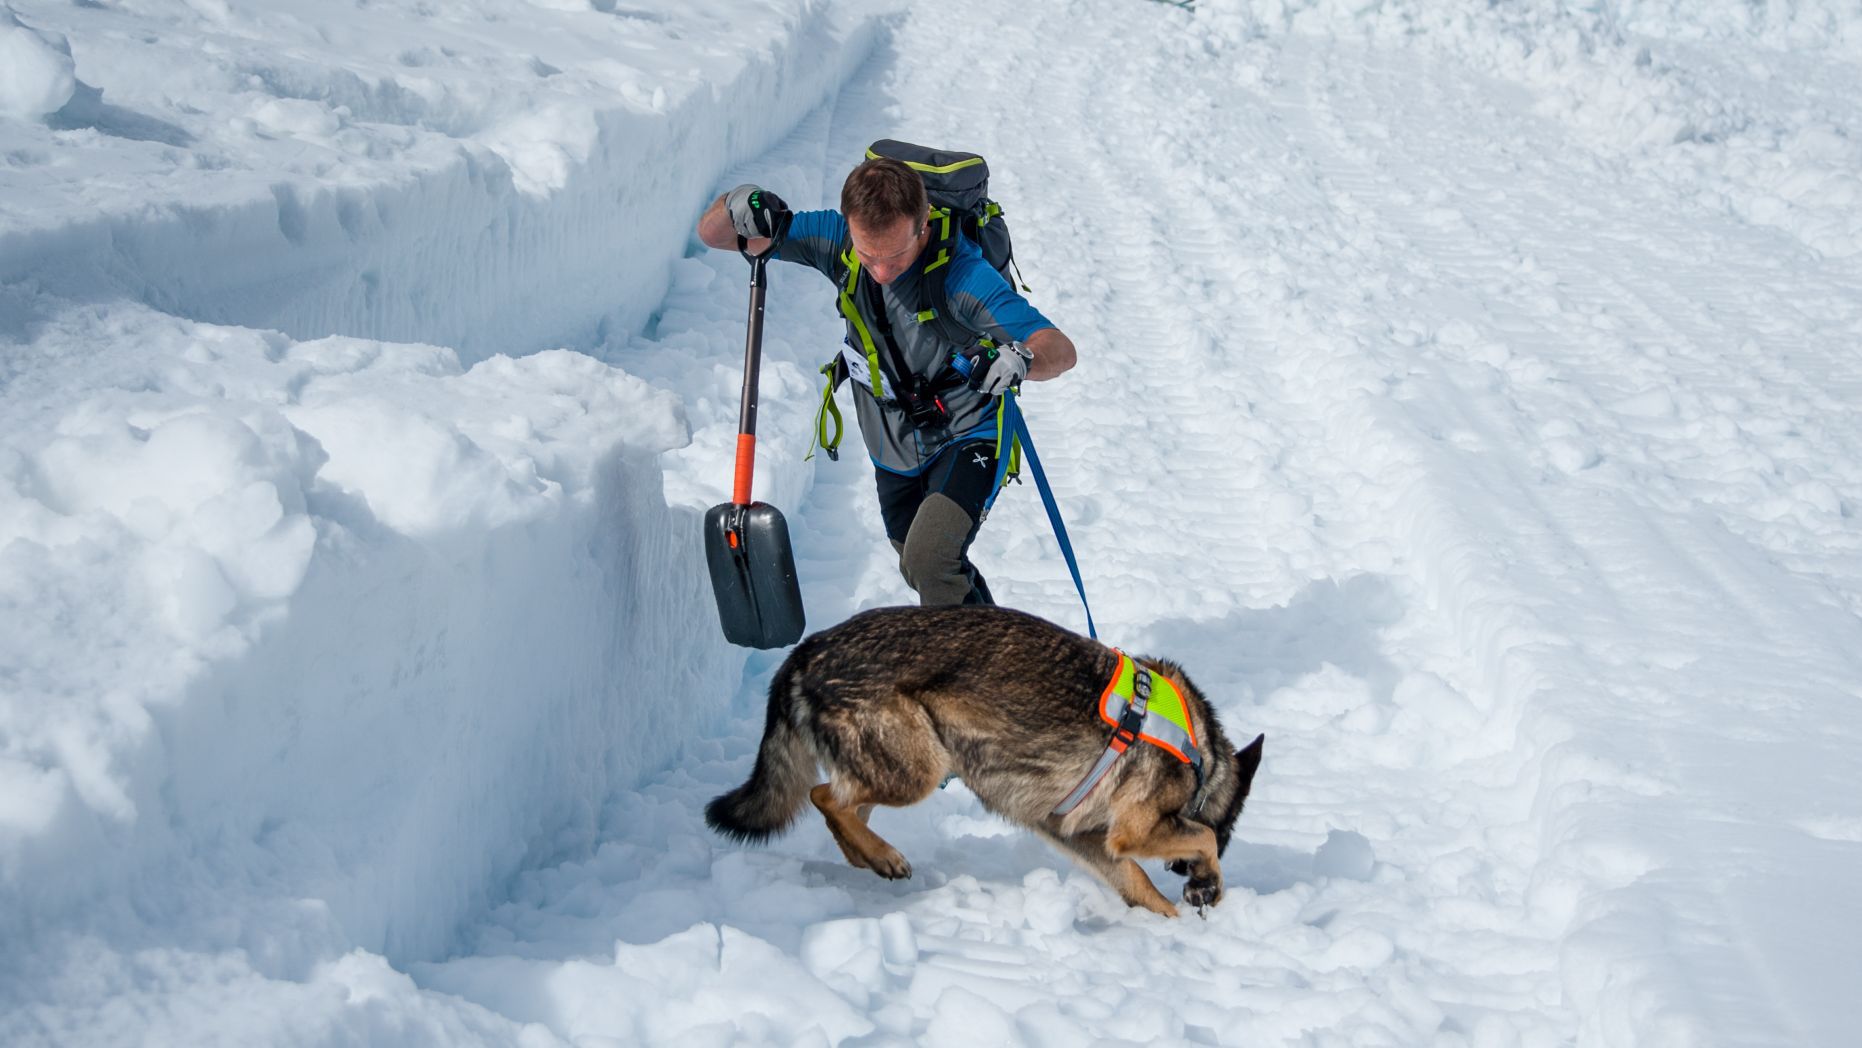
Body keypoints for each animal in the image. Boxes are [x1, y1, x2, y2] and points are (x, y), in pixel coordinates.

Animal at [700, 606, 1266, 919]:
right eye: (1233, 829)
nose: (1187, 877)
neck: (1204, 753)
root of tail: (805, 650)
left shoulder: (1083, 836)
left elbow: (1137, 883)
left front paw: (1167, 925)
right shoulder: (1133, 830)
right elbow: (1201, 836)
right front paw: (1206, 886)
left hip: (898, 765)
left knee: (842, 805)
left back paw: (869, 857)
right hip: (919, 768)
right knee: (824, 797)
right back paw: (884, 855)